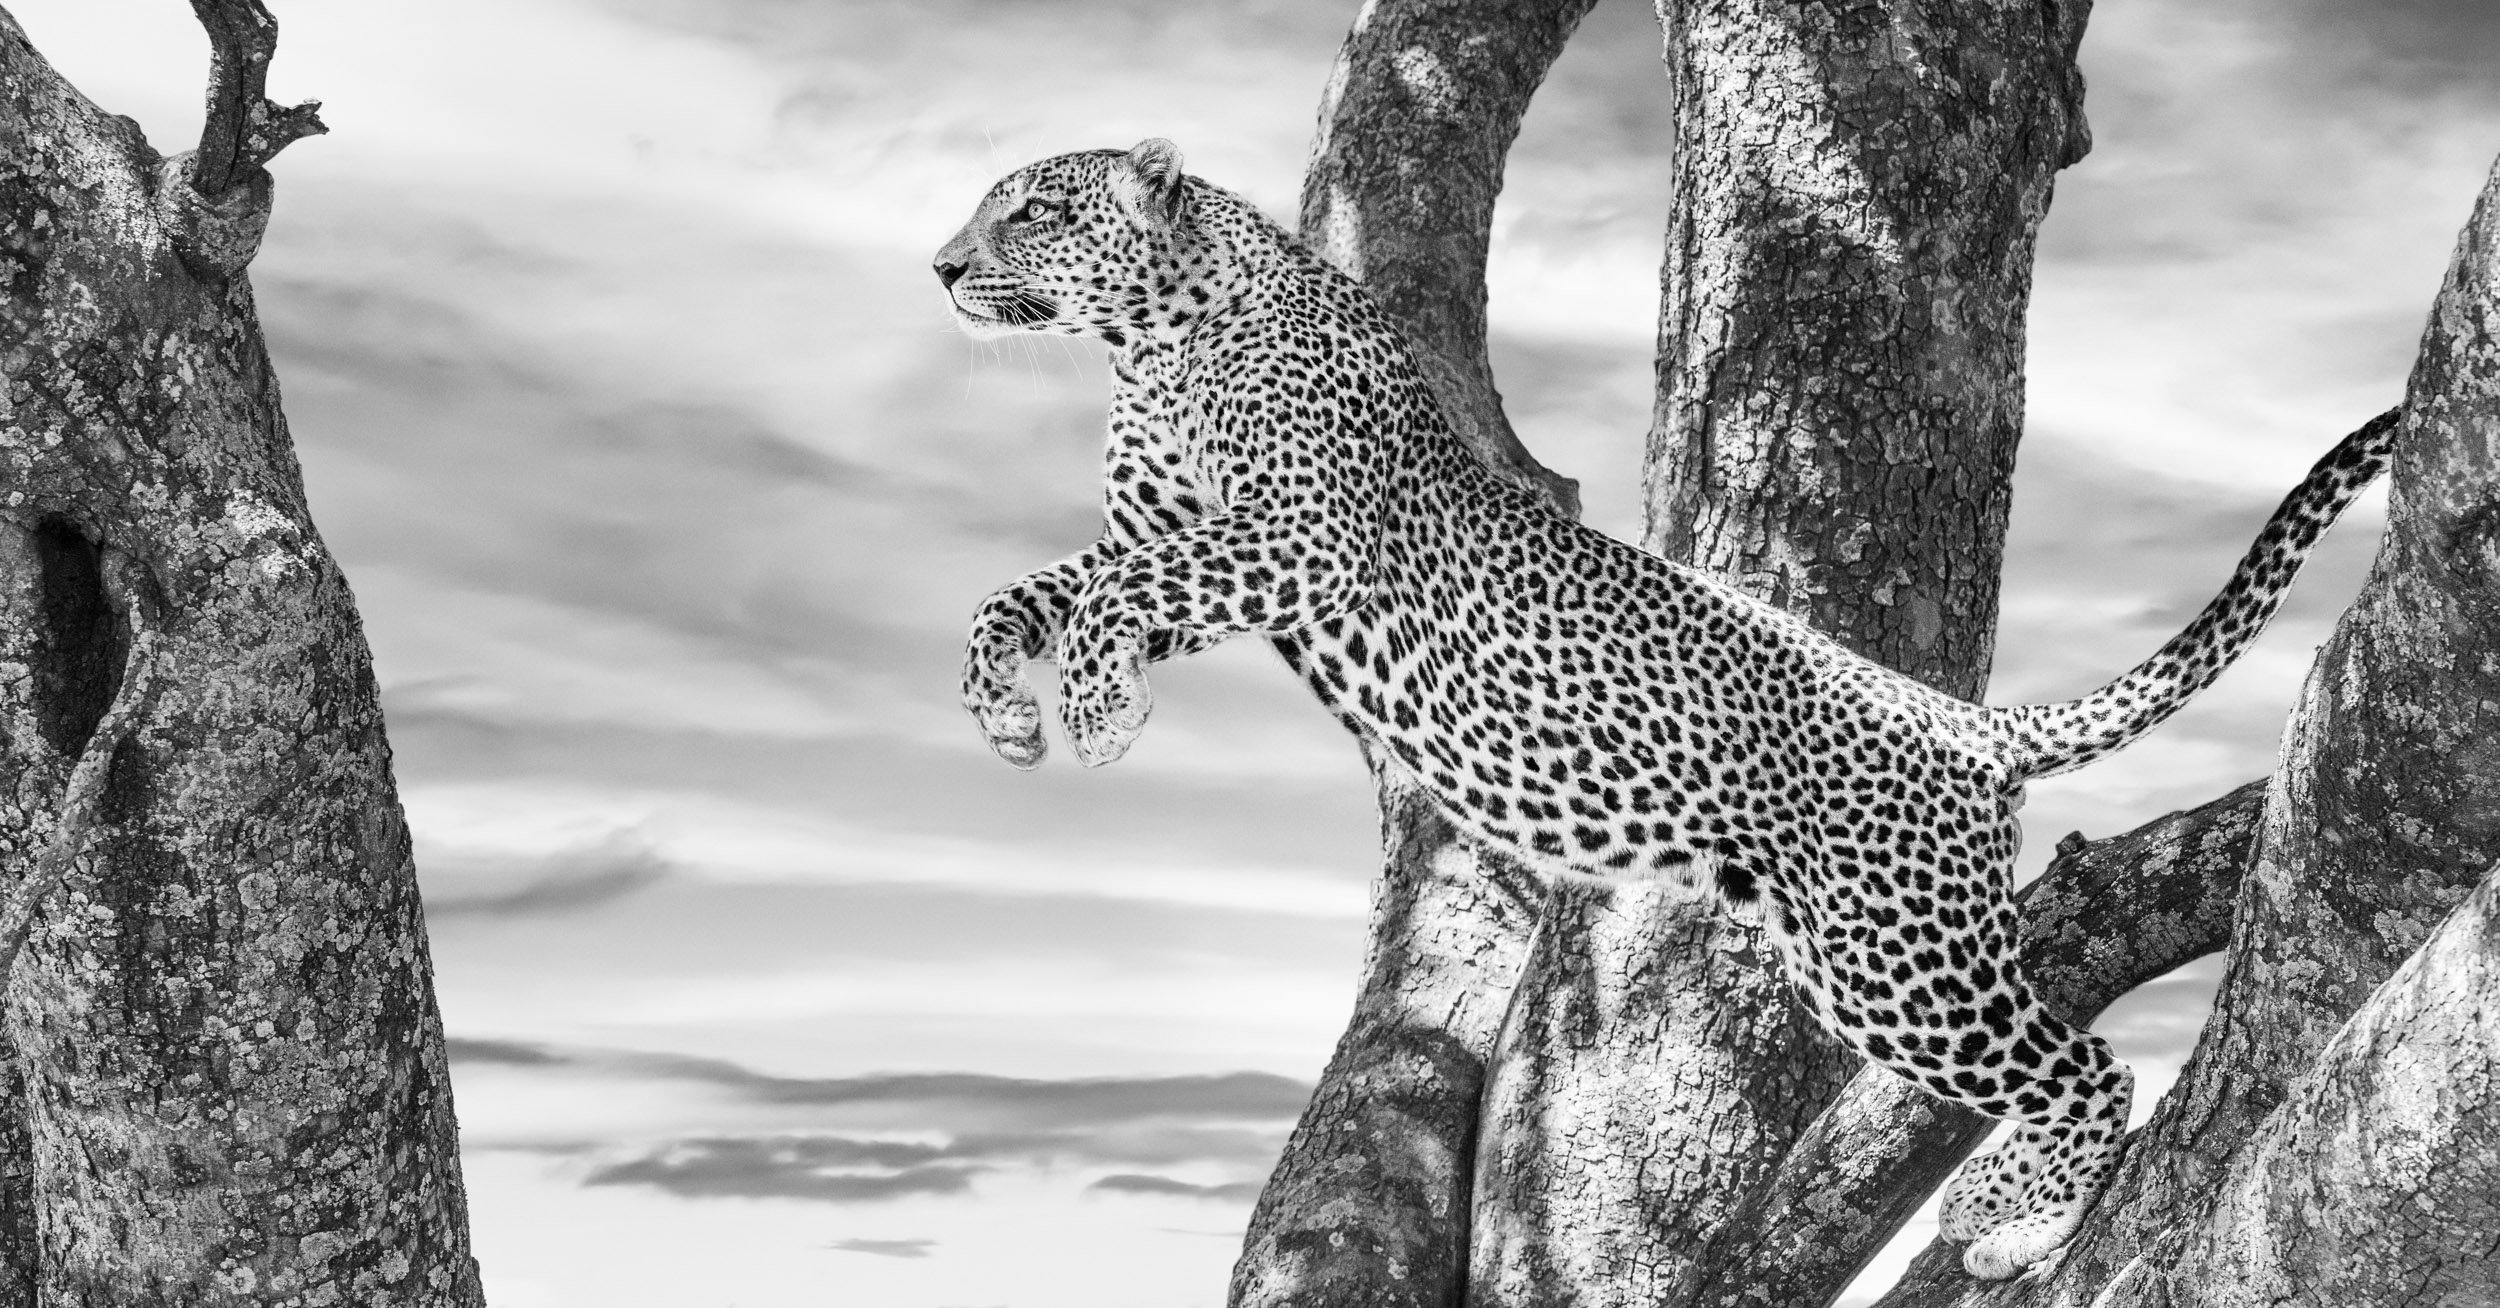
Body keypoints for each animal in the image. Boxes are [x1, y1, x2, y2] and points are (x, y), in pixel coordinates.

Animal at [935, 139, 2394, 1280]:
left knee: (2084, 1065)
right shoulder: (1192, 551)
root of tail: (1964, 721)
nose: (942, 266)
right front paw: (1023, 710)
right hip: (1859, 957)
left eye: (1036, 210)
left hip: (1899, 955)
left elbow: (1110, 593)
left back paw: (2016, 1226)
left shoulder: (1304, 542)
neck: (1150, 341)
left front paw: (1097, 710)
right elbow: (1037, 590)